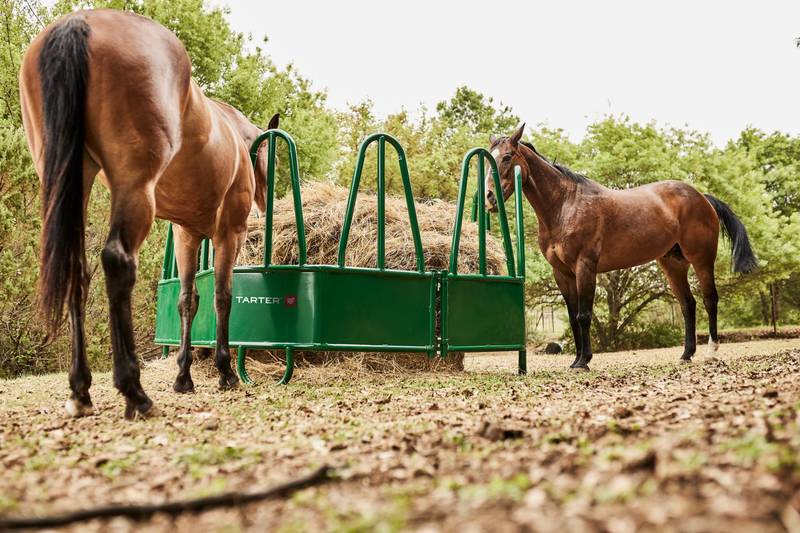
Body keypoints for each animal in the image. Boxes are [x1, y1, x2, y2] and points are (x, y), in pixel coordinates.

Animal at [19, 9, 278, 419]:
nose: (267, 206)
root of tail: (80, 23)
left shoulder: (188, 236)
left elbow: (188, 300)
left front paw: (184, 377)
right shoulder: (228, 235)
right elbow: (222, 296)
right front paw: (225, 372)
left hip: (69, 179)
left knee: (78, 269)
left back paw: (81, 390)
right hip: (135, 190)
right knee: (118, 262)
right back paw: (134, 390)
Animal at [485, 124, 757, 370]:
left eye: (507, 157)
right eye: (490, 158)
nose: (489, 197)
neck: (565, 205)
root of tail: (702, 197)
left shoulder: (585, 267)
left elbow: (584, 315)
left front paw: (584, 362)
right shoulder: (562, 274)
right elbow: (573, 318)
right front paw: (576, 360)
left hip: (701, 259)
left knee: (710, 299)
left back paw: (711, 351)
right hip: (673, 265)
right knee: (687, 305)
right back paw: (686, 355)